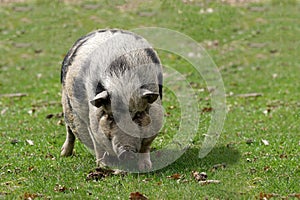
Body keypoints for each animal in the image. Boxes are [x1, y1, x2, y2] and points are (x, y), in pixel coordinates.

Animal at [60, 28, 164, 171]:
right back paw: (64, 154)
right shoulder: (92, 120)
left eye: (138, 114)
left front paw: (146, 167)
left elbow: (145, 145)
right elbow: (98, 144)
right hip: (66, 105)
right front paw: (103, 166)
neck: (123, 85)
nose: (127, 151)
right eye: (111, 117)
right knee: (69, 129)